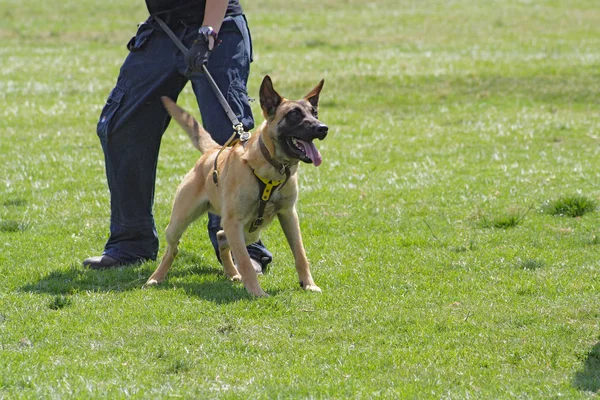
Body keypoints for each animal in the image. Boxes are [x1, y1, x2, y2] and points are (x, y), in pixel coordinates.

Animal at [146, 76, 330, 296]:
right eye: (294, 114)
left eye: (314, 113)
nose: (323, 128)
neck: (271, 167)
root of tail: (213, 151)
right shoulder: (234, 222)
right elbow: (245, 261)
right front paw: (257, 293)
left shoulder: (288, 215)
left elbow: (300, 253)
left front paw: (309, 284)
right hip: (180, 222)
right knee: (172, 249)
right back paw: (156, 277)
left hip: (250, 232)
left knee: (220, 237)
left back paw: (232, 273)